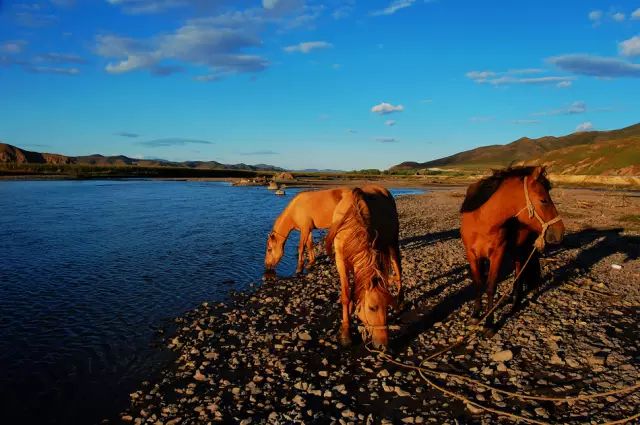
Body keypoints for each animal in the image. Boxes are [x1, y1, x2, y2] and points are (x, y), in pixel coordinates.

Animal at [324, 185, 400, 348]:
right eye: (372, 308)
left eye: (387, 307)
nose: (383, 345)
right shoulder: (341, 260)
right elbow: (347, 294)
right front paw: (346, 332)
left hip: (393, 243)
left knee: (398, 269)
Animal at [460, 165, 564, 324]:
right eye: (543, 200)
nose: (560, 232)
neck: (482, 223)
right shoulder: (472, 255)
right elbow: (478, 283)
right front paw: (475, 314)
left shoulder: (497, 254)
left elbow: (491, 286)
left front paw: (489, 321)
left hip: (521, 249)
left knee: (519, 273)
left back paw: (516, 301)